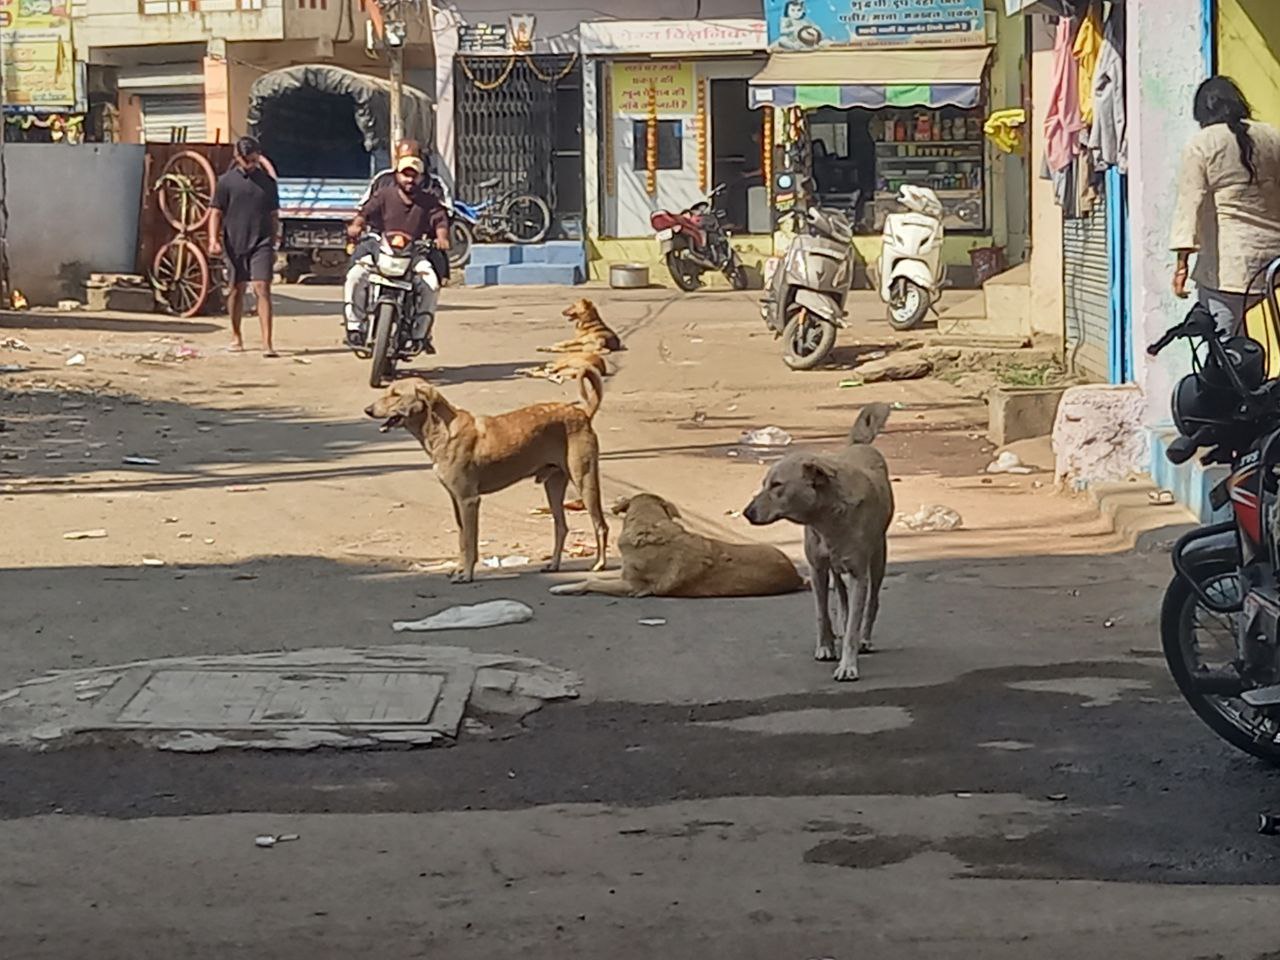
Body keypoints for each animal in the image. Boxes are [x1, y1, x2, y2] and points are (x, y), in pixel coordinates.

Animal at [366, 371, 609, 583]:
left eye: (395, 394)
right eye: (387, 391)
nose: (367, 409)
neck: (441, 430)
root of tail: (583, 413)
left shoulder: (469, 500)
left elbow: (470, 542)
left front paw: (466, 574)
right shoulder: (456, 500)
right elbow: (462, 540)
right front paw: (459, 569)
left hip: (585, 480)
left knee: (601, 524)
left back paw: (599, 564)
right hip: (554, 485)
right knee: (562, 526)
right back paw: (554, 564)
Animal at [547, 491, 798, 599]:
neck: (649, 524)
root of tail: (796, 575)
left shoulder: (631, 586)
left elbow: (591, 581)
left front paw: (563, 587)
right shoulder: (625, 575)